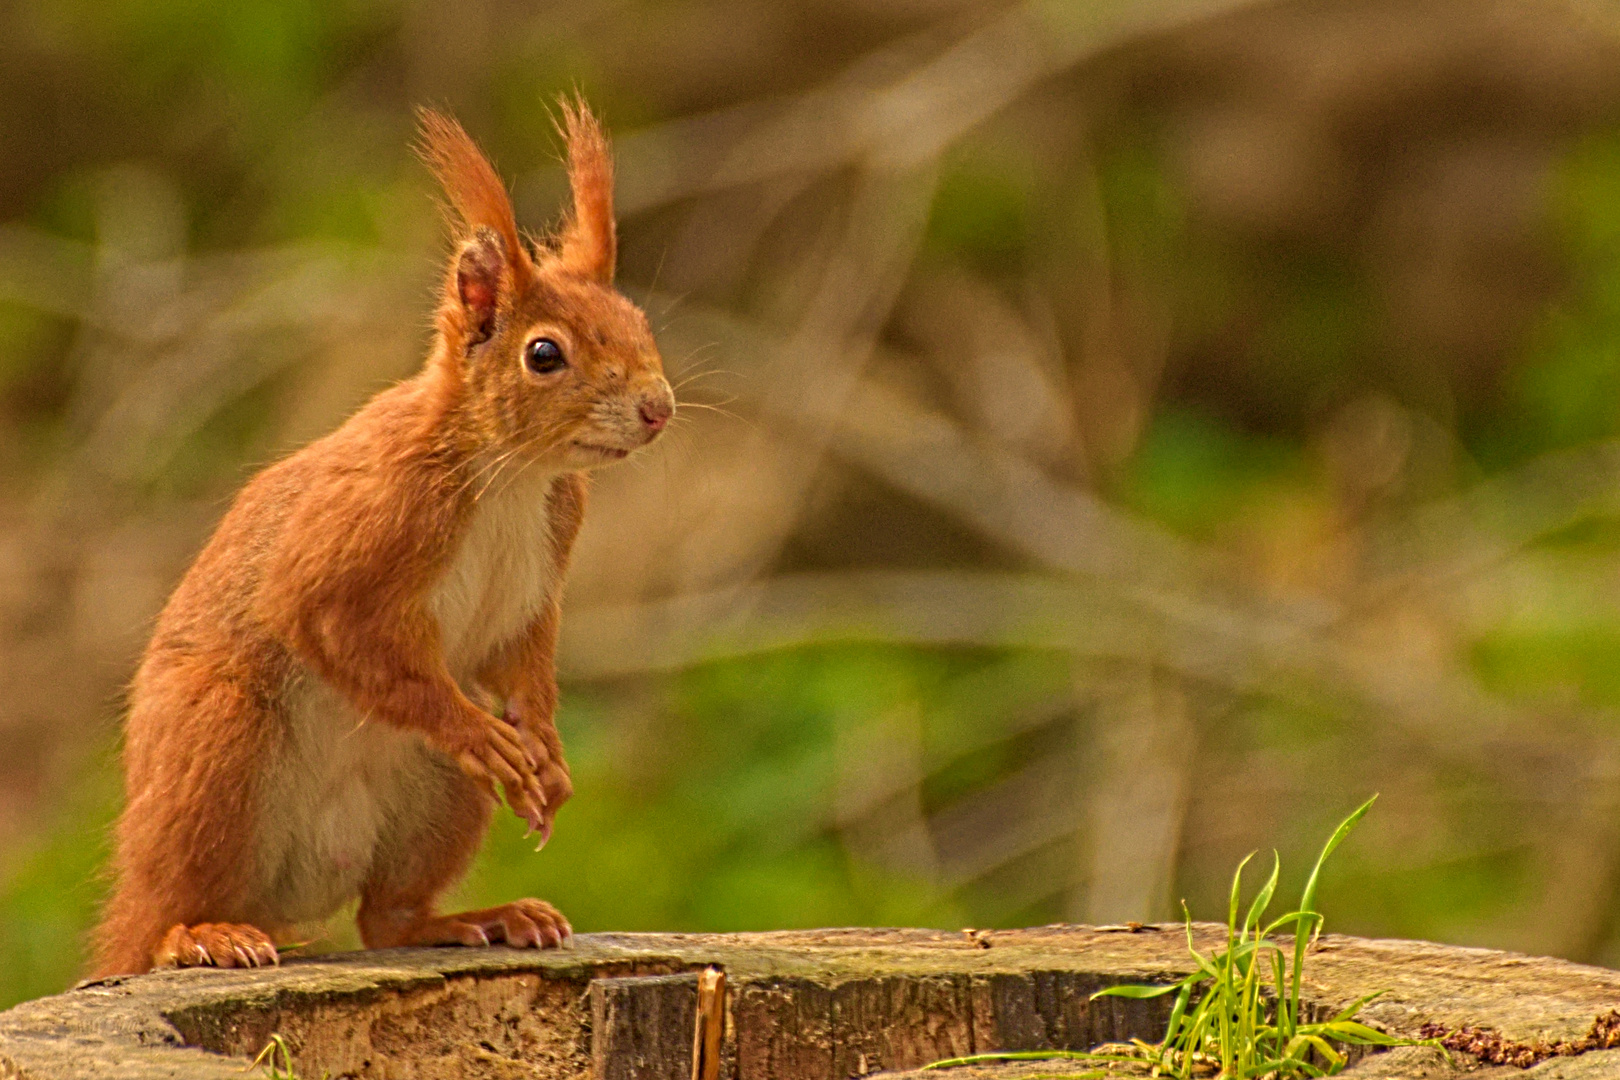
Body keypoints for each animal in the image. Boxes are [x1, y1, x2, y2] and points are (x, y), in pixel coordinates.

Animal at [90, 103, 670, 977]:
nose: (658, 408)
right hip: (216, 746)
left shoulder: (548, 554)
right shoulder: (369, 520)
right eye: (544, 354)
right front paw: (476, 732)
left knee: (385, 918)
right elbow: (331, 624)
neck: (511, 475)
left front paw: (547, 754)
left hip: (436, 800)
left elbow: (523, 660)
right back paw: (200, 934)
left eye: (638, 323)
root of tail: (292, 898)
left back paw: (481, 918)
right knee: (170, 907)